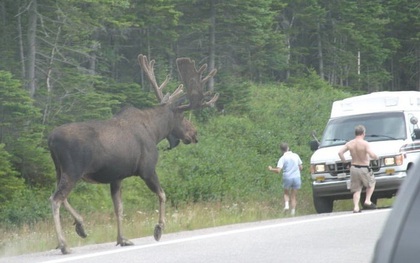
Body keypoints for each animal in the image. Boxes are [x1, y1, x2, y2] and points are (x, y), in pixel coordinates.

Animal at [48, 54, 218, 255]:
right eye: (183, 117)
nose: (194, 134)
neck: (155, 131)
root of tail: (50, 139)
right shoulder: (147, 170)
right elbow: (162, 194)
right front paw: (159, 229)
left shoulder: (116, 177)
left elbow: (119, 208)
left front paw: (122, 239)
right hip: (73, 171)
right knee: (56, 199)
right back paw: (64, 244)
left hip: (60, 170)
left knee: (58, 197)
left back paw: (80, 226)